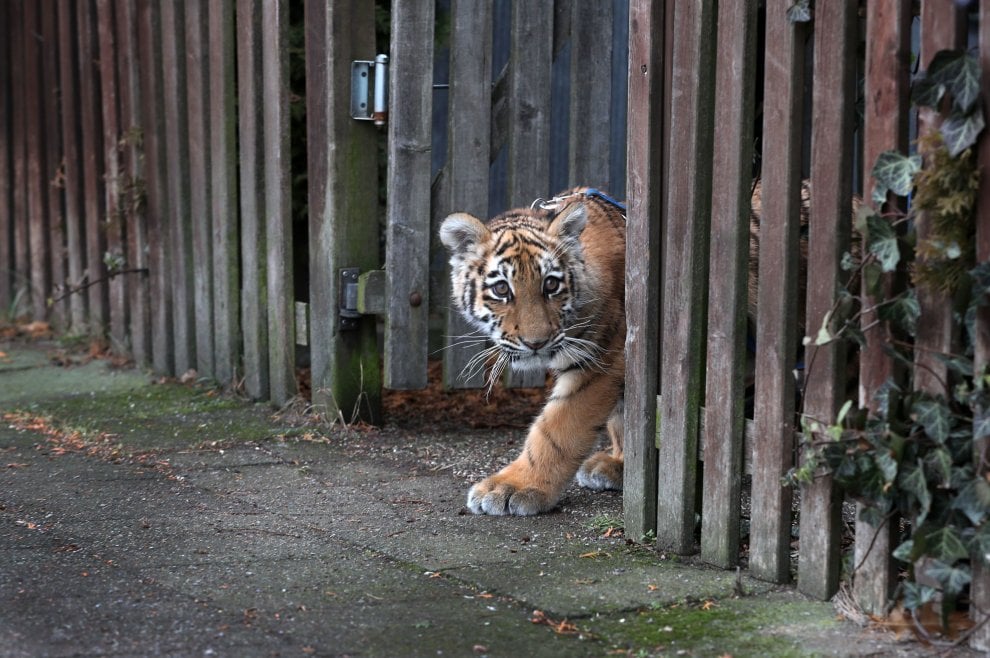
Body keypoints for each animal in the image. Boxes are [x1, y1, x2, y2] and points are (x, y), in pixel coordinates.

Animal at [440, 188, 627, 516]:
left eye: (551, 284)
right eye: (502, 289)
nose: (535, 342)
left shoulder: (600, 362)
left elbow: (555, 431)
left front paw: (513, 487)